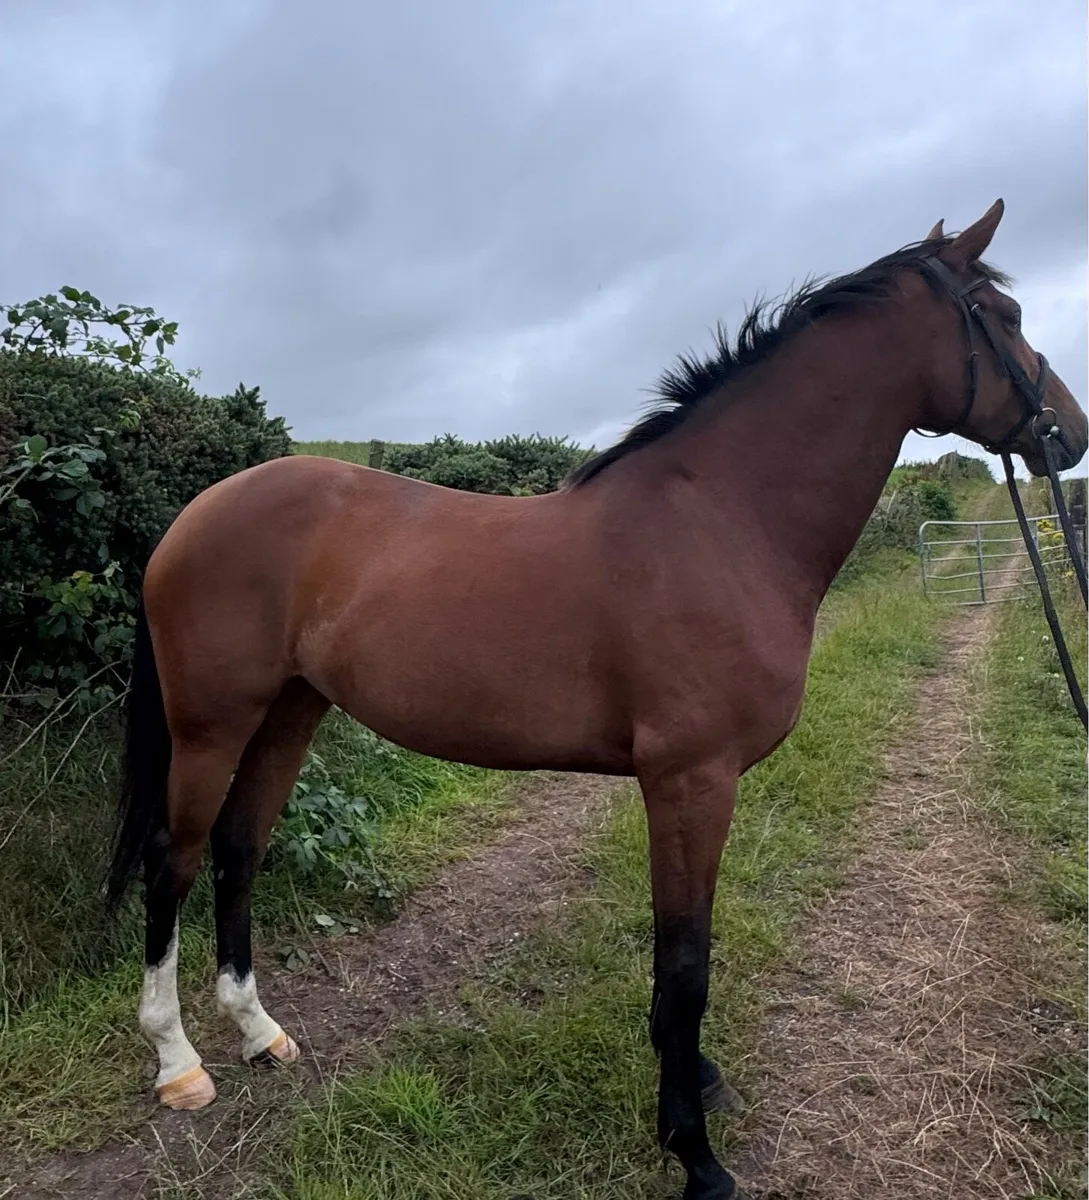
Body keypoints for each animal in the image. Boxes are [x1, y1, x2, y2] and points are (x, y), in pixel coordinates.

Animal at [106, 199, 1087, 1200]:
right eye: (1003, 318)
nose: (1069, 434)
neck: (722, 522)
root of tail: (194, 514)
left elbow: (676, 956)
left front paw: (695, 1085)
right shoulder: (693, 781)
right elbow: (686, 962)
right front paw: (695, 1152)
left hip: (291, 711)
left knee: (238, 849)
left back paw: (259, 1032)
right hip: (211, 723)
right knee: (172, 860)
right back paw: (179, 1062)